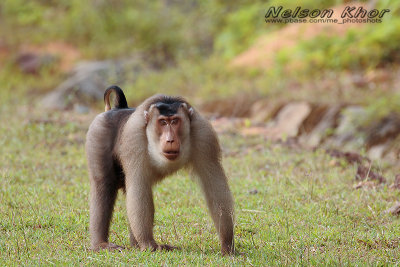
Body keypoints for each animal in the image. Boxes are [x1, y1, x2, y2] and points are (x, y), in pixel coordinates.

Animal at [85, 85, 234, 255]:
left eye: (175, 121)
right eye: (162, 122)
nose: (170, 139)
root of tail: (117, 109)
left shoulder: (204, 135)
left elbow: (215, 186)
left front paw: (227, 244)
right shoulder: (134, 139)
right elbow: (138, 187)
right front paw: (148, 243)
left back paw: (135, 245)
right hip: (98, 133)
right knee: (104, 184)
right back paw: (101, 243)